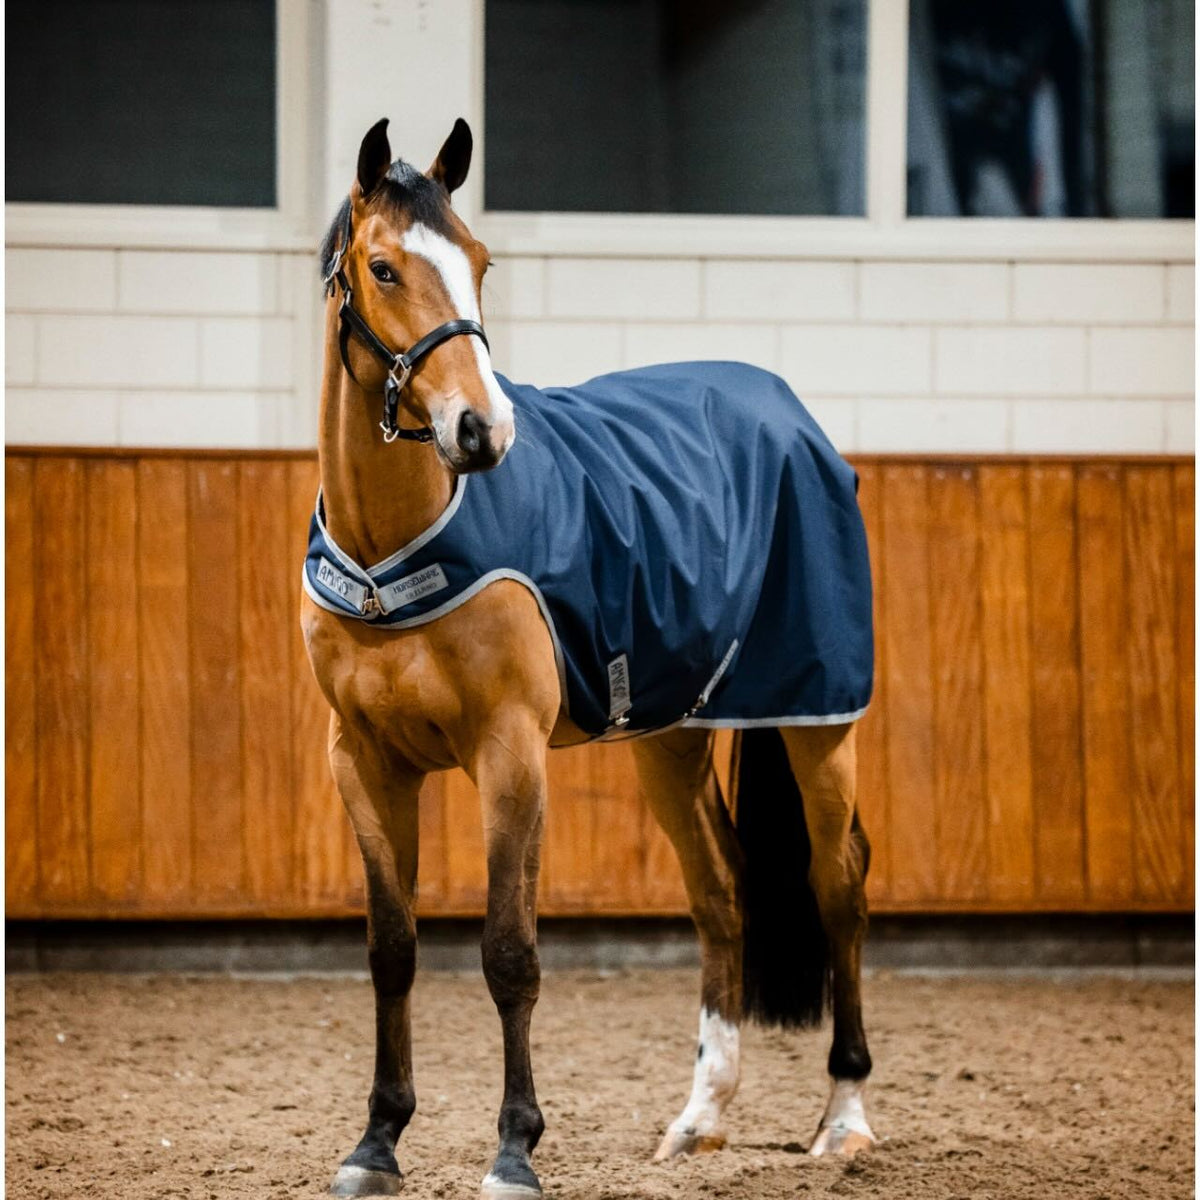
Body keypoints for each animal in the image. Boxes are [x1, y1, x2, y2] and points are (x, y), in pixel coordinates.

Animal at [302, 116, 875, 1199]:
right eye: (385, 268)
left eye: (481, 262)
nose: (482, 430)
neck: (396, 545)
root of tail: (791, 414)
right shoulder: (363, 760)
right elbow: (392, 950)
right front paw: (375, 1142)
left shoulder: (509, 755)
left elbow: (509, 953)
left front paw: (514, 1151)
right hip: (673, 736)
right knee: (722, 891)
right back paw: (700, 1120)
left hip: (815, 720)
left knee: (840, 885)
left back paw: (846, 1117)